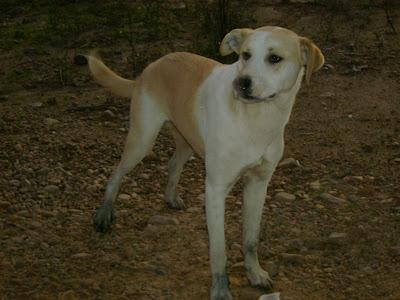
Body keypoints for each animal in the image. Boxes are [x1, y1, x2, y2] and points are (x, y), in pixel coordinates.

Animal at [88, 26, 324, 300]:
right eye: (245, 55)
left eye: (274, 58)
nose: (241, 83)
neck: (255, 119)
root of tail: (150, 67)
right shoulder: (215, 189)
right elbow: (218, 251)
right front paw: (221, 290)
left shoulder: (258, 184)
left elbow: (250, 239)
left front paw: (255, 273)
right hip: (142, 140)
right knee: (117, 173)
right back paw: (104, 213)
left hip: (186, 141)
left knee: (172, 164)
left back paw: (170, 198)